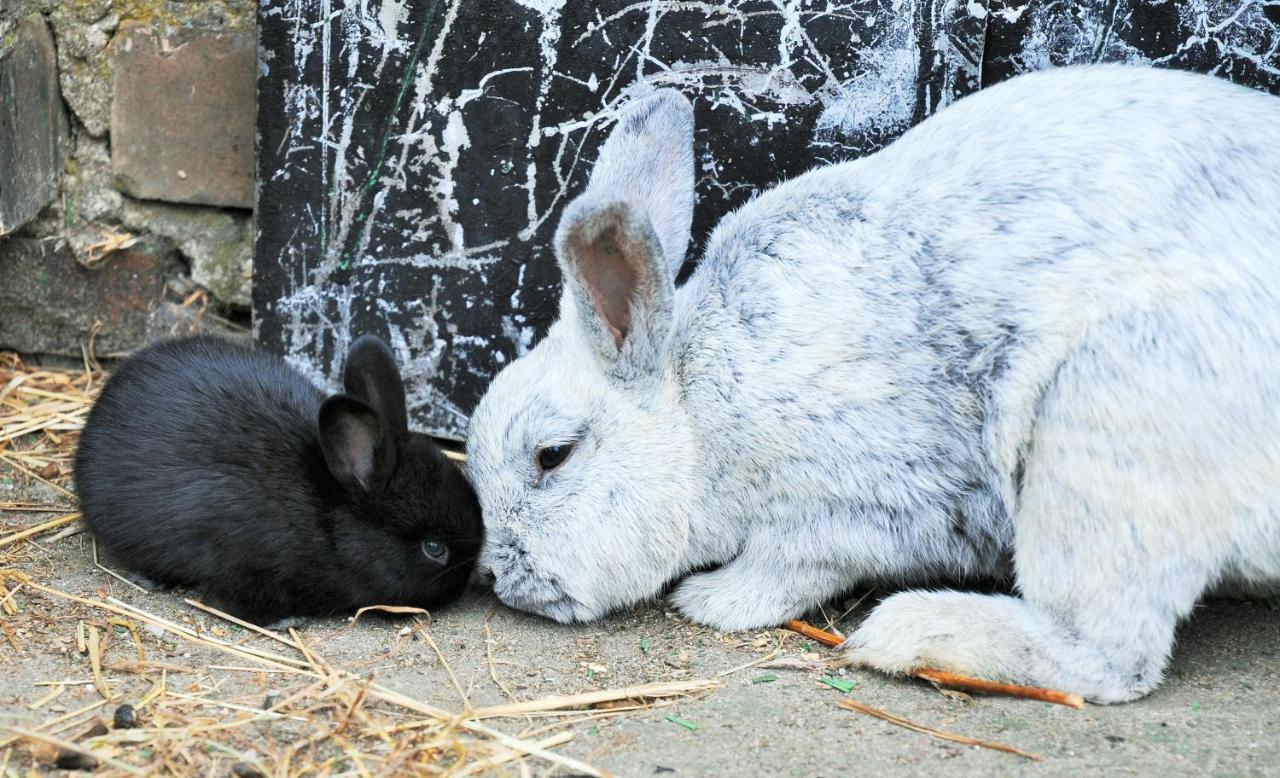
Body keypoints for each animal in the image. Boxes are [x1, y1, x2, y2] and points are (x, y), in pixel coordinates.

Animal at [468, 63, 1280, 701]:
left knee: (1108, 653)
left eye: (552, 456)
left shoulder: (846, 508)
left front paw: (711, 601)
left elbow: (789, 568)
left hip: (1103, 426)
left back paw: (911, 632)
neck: (698, 411)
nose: (498, 578)